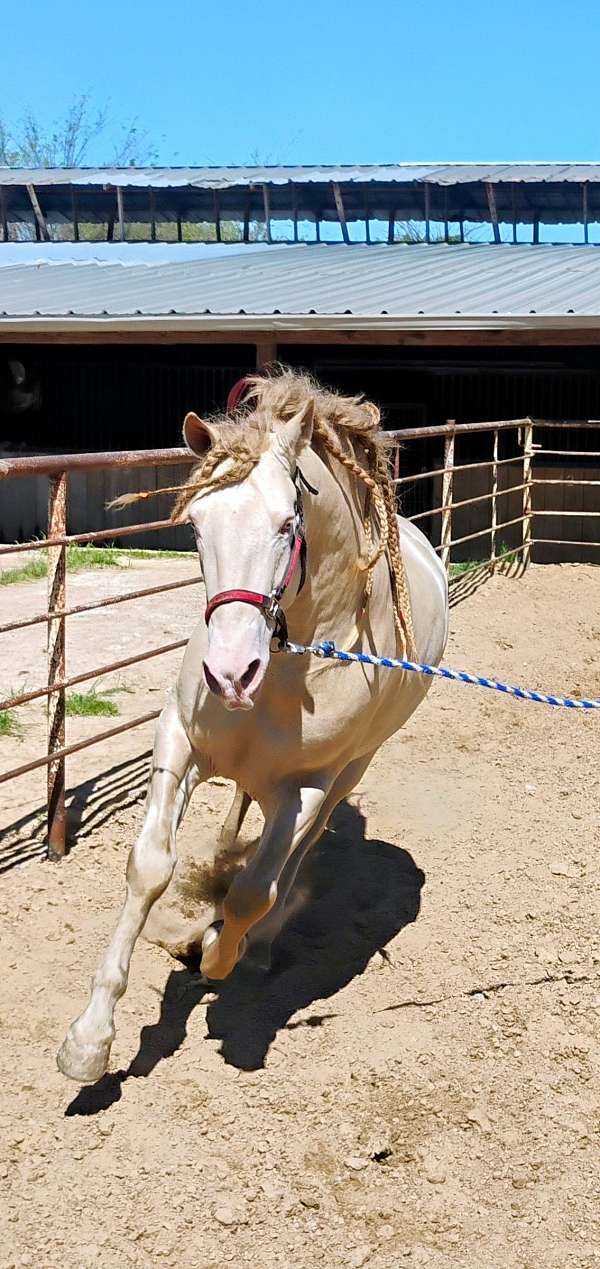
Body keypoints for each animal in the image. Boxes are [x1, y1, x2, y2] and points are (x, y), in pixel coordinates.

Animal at [57, 369, 449, 1084]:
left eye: (287, 523)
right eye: (196, 525)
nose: (231, 673)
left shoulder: (309, 786)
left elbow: (250, 895)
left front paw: (213, 951)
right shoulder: (179, 741)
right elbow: (149, 866)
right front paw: (89, 1042)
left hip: (349, 774)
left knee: (293, 860)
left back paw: (256, 949)